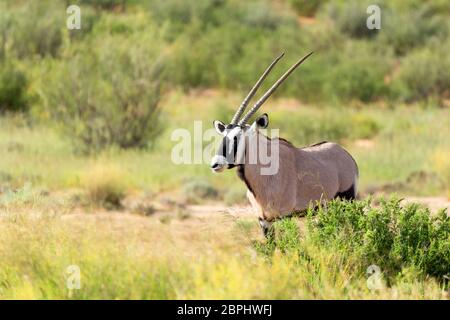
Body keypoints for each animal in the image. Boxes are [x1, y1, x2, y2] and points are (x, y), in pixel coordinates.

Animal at [210, 52, 358, 236]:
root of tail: (347, 155)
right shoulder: (264, 220)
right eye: (223, 135)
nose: (216, 164)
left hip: (346, 201)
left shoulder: (284, 216)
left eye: (238, 137)